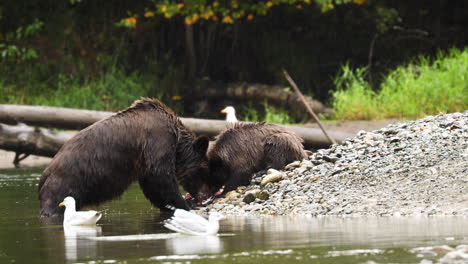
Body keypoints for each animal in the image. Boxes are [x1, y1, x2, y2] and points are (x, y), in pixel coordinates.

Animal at [38, 98, 208, 216]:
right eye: (205, 169)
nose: (204, 196)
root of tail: (45, 174)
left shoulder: (144, 160)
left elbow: (152, 185)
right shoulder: (157, 141)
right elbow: (160, 177)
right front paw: (185, 203)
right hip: (66, 185)